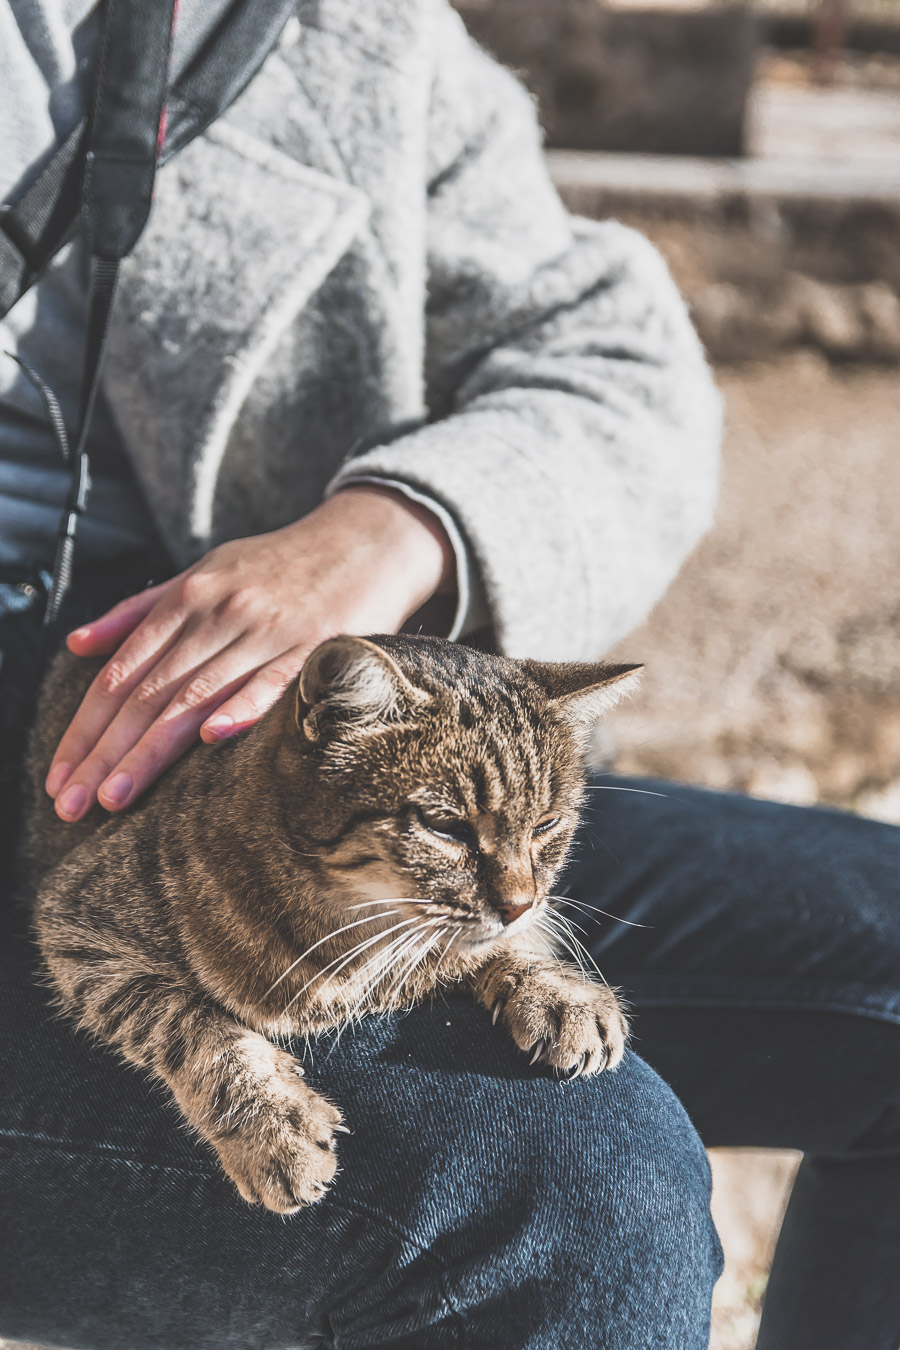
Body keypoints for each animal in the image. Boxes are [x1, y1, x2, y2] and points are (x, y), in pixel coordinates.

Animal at [22, 631, 639, 1215]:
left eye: (547, 825)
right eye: (446, 828)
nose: (519, 904)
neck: (358, 945)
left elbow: (496, 947)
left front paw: (559, 992)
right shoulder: (76, 925)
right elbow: (192, 1026)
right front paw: (272, 1127)